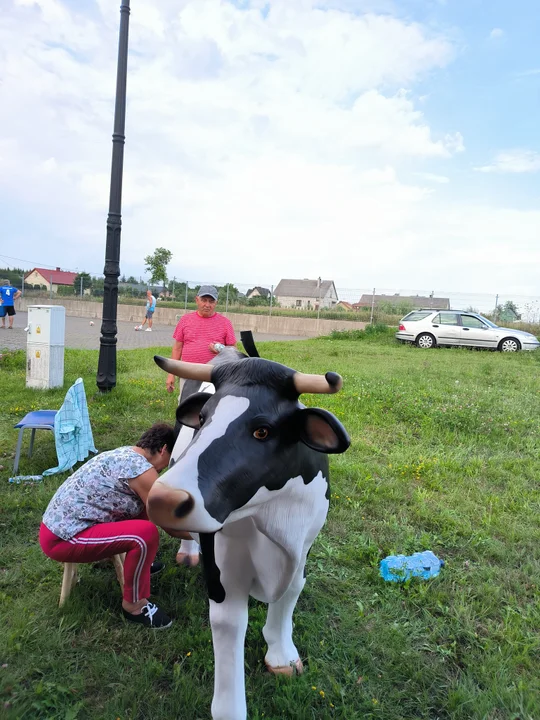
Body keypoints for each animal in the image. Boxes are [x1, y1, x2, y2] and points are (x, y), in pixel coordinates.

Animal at [148, 350, 350, 720]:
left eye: (262, 431)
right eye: (203, 418)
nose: (163, 499)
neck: (272, 518)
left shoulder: (304, 546)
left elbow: (292, 592)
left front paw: (282, 655)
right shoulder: (223, 574)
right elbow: (229, 623)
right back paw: (187, 551)